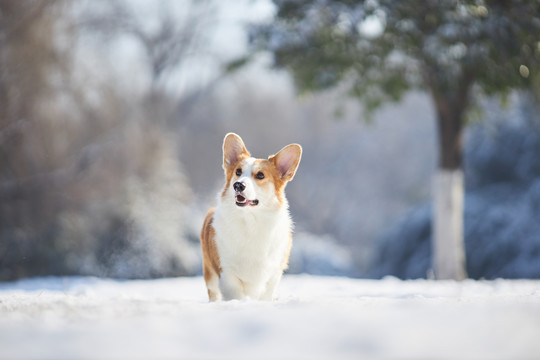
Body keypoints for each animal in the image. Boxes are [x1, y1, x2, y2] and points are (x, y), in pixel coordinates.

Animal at [200, 132, 302, 300]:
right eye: (238, 172)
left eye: (260, 175)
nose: (238, 185)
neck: (250, 221)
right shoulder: (227, 272)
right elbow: (236, 295)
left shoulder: (273, 274)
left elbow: (266, 294)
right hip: (210, 276)